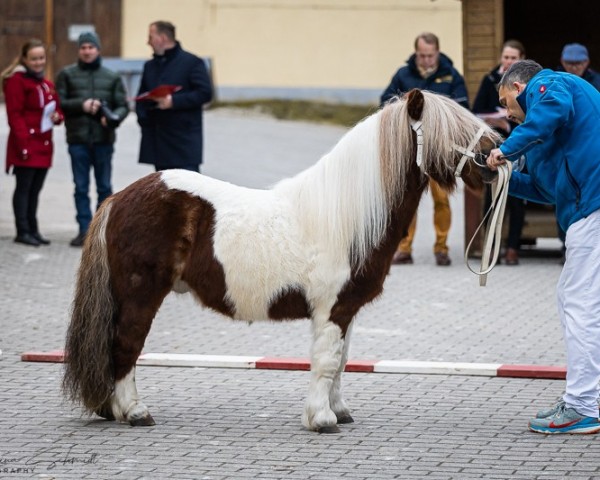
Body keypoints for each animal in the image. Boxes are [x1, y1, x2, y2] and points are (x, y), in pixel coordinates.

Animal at [62, 88, 502, 434]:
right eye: (454, 129)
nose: (494, 154)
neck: (347, 214)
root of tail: (119, 197)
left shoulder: (347, 310)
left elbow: (342, 361)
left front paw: (339, 411)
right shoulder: (331, 309)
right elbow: (326, 362)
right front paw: (321, 419)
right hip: (141, 296)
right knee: (125, 346)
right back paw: (135, 412)